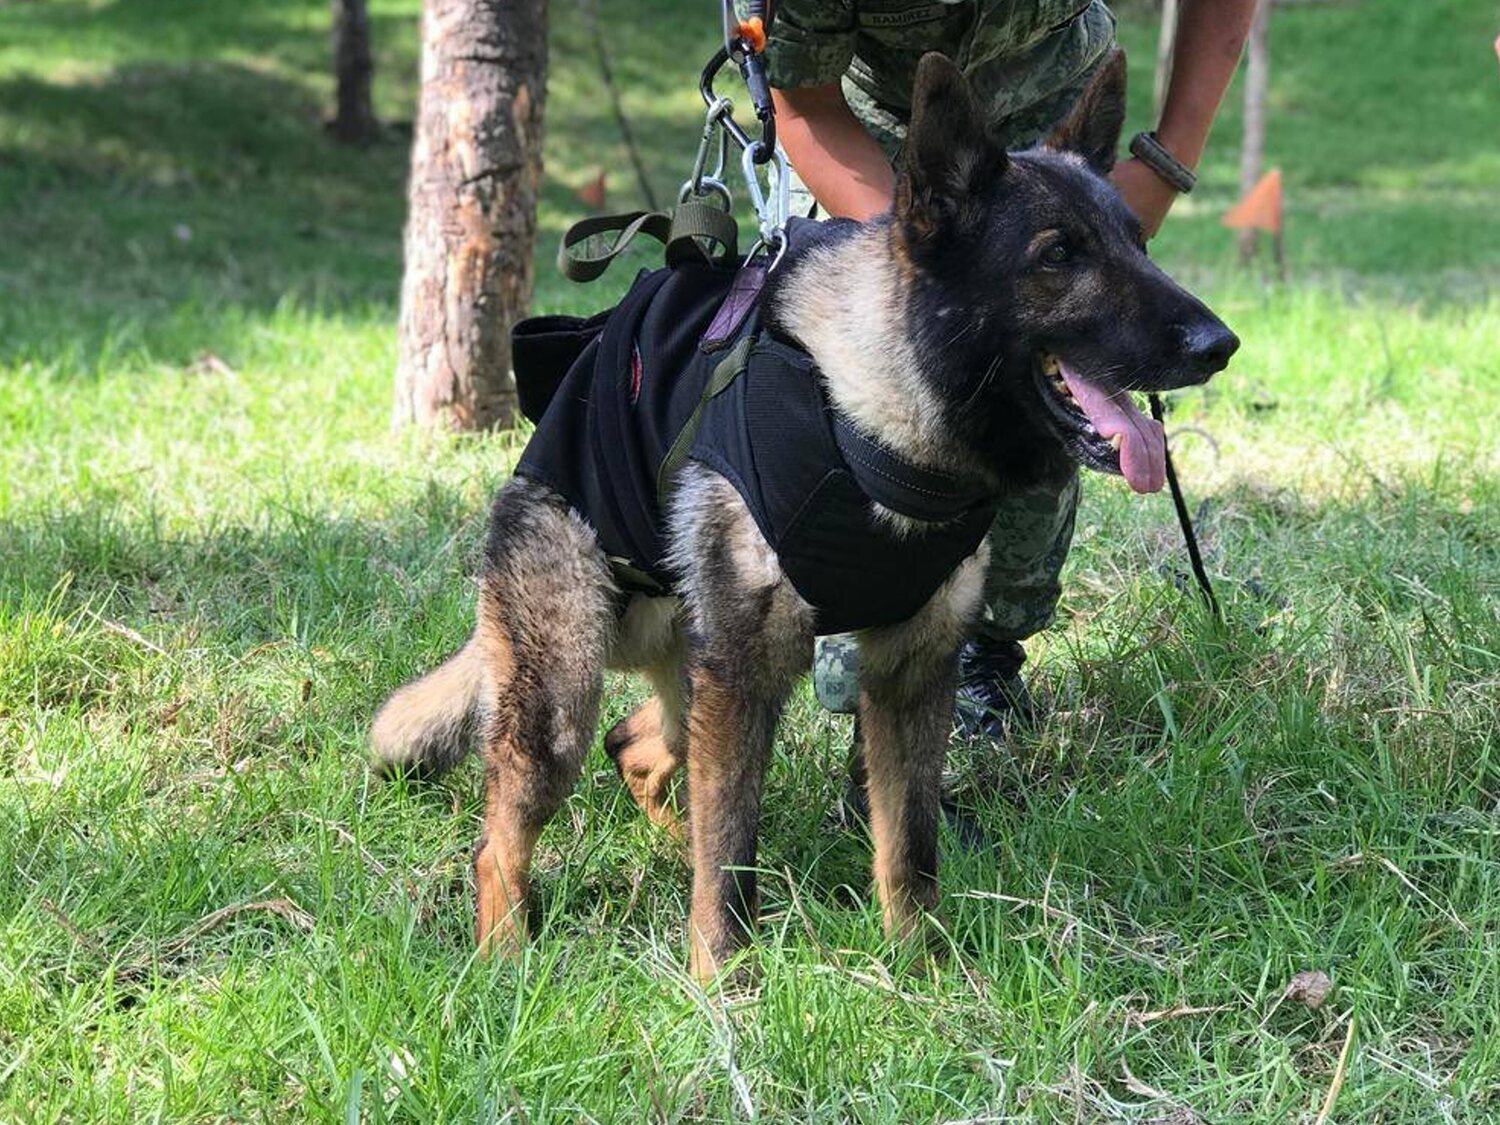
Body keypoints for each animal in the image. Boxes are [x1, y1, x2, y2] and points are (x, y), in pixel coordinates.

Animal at [369, 52, 1236, 984]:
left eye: (1137, 243)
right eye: (1059, 254)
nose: (1219, 345)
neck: (877, 421)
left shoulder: (908, 676)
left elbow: (907, 847)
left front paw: (920, 968)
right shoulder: (751, 676)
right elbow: (731, 856)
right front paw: (722, 984)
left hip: (690, 685)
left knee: (635, 746)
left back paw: (665, 849)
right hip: (569, 696)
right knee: (506, 839)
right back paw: (507, 957)